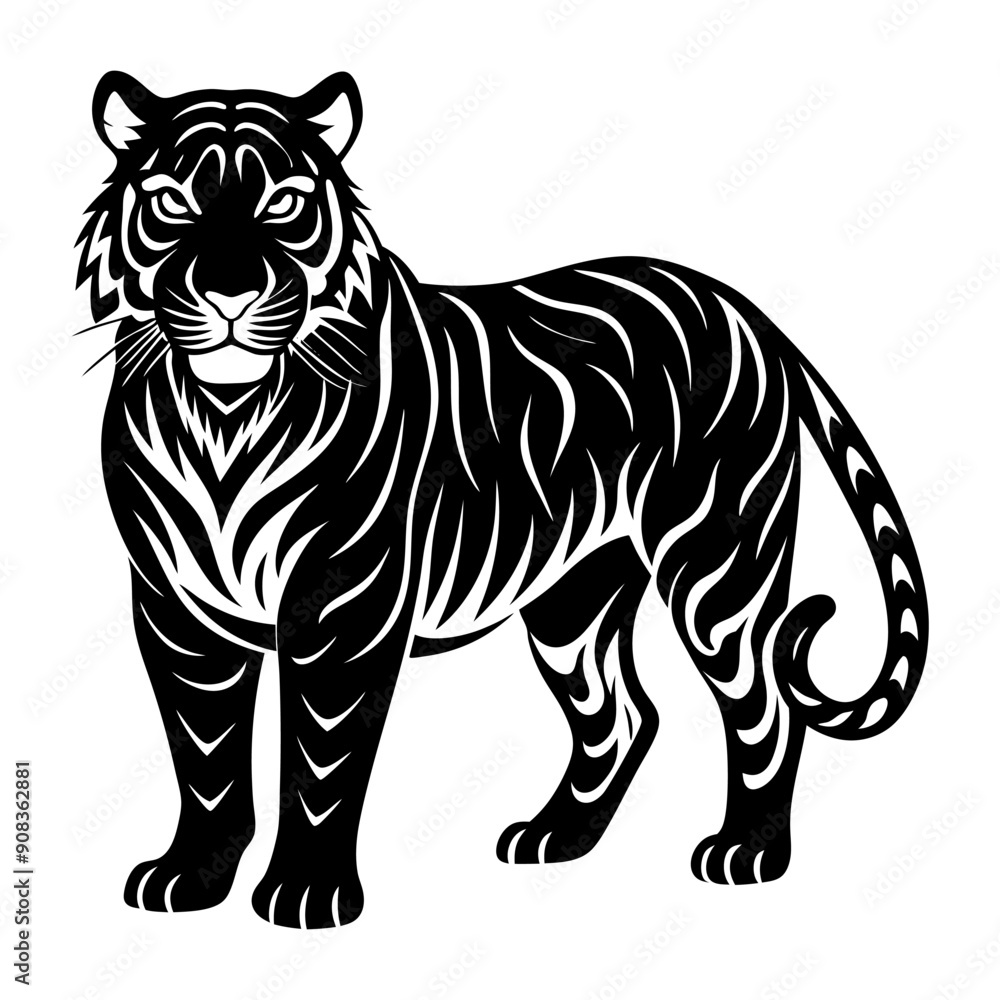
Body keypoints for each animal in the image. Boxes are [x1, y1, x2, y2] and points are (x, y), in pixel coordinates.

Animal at [76, 70, 928, 929]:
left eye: (282, 204)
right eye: (173, 201)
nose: (230, 292)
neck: (222, 417)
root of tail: (740, 306)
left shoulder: (340, 606)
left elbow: (319, 762)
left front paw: (306, 895)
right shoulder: (174, 609)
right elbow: (206, 760)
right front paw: (190, 877)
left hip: (716, 570)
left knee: (764, 709)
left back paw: (746, 855)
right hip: (573, 603)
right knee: (622, 716)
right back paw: (555, 837)